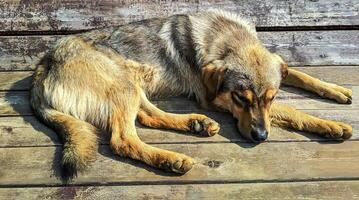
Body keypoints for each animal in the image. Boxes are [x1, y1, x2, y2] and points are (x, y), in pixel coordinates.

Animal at [30, 10, 352, 177]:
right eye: (241, 99)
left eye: (271, 98)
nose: (261, 137)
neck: (226, 37)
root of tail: (42, 65)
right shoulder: (215, 98)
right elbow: (294, 110)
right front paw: (331, 124)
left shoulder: (277, 74)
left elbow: (299, 74)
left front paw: (335, 91)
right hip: (123, 84)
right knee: (123, 140)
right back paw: (169, 158)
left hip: (132, 82)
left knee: (147, 116)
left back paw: (195, 124)